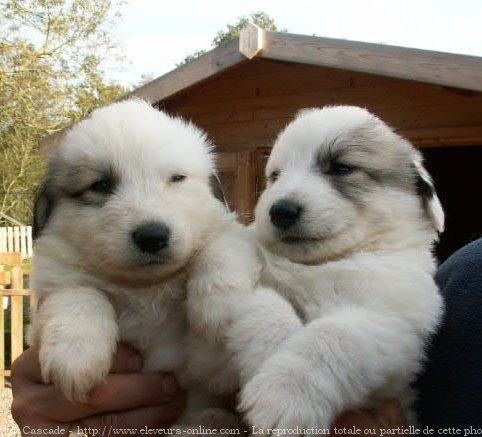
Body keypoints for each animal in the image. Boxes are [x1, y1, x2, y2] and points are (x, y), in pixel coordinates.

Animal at [28, 98, 258, 422]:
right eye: (101, 185)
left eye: (177, 178)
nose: (152, 236)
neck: (146, 291)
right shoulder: (55, 282)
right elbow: (77, 292)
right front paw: (75, 356)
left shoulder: (209, 369)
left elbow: (221, 245)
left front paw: (221, 307)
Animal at [229, 106, 444, 430]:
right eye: (275, 176)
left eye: (341, 168)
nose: (280, 211)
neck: (326, 262)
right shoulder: (250, 286)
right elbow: (267, 309)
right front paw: (271, 354)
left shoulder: (393, 326)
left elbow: (333, 334)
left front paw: (285, 393)